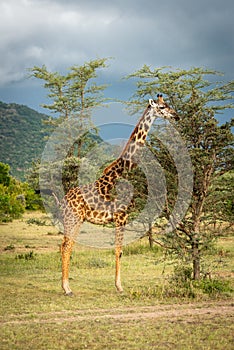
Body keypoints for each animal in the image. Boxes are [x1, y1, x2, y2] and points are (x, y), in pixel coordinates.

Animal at [59, 94, 177, 294]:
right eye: (162, 107)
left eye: (167, 104)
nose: (176, 116)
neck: (124, 171)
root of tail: (64, 198)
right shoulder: (122, 216)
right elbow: (119, 250)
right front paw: (119, 286)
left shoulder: (121, 217)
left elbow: (119, 250)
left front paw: (118, 284)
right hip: (72, 218)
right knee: (67, 246)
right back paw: (67, 289)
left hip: (77, 220)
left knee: (65, 245)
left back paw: (65, 286)